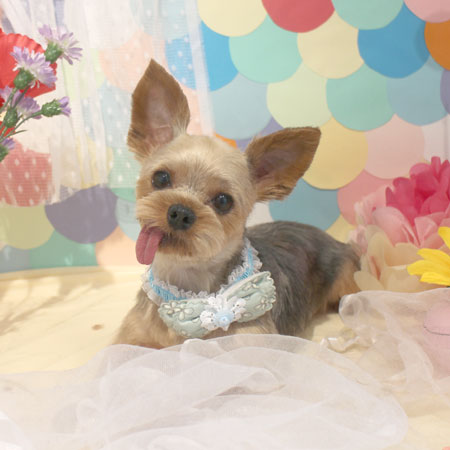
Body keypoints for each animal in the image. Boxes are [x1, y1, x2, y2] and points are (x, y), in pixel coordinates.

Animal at [115, 60, 360, 349]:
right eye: (161, 178)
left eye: (223, 201)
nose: (180, 212)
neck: (189, 286)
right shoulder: (130, 339)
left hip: (348, 278)